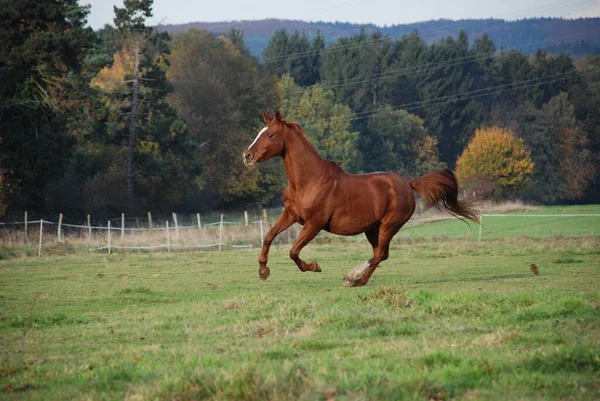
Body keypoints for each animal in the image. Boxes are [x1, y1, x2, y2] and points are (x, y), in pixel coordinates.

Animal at [244, 108, 478, 284]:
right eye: (260, 132)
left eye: (271, 134)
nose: (247, 156)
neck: (308, 181)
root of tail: (408, 185)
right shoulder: (291, 215)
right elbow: (268, 236)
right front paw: (263, 271)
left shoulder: (314, 223)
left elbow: (293, 251)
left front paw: (314, 266)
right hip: (372, 229)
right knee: (381, 254)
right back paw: (359, 280)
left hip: (389, 226)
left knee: (379, 254)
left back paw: (352, 277)